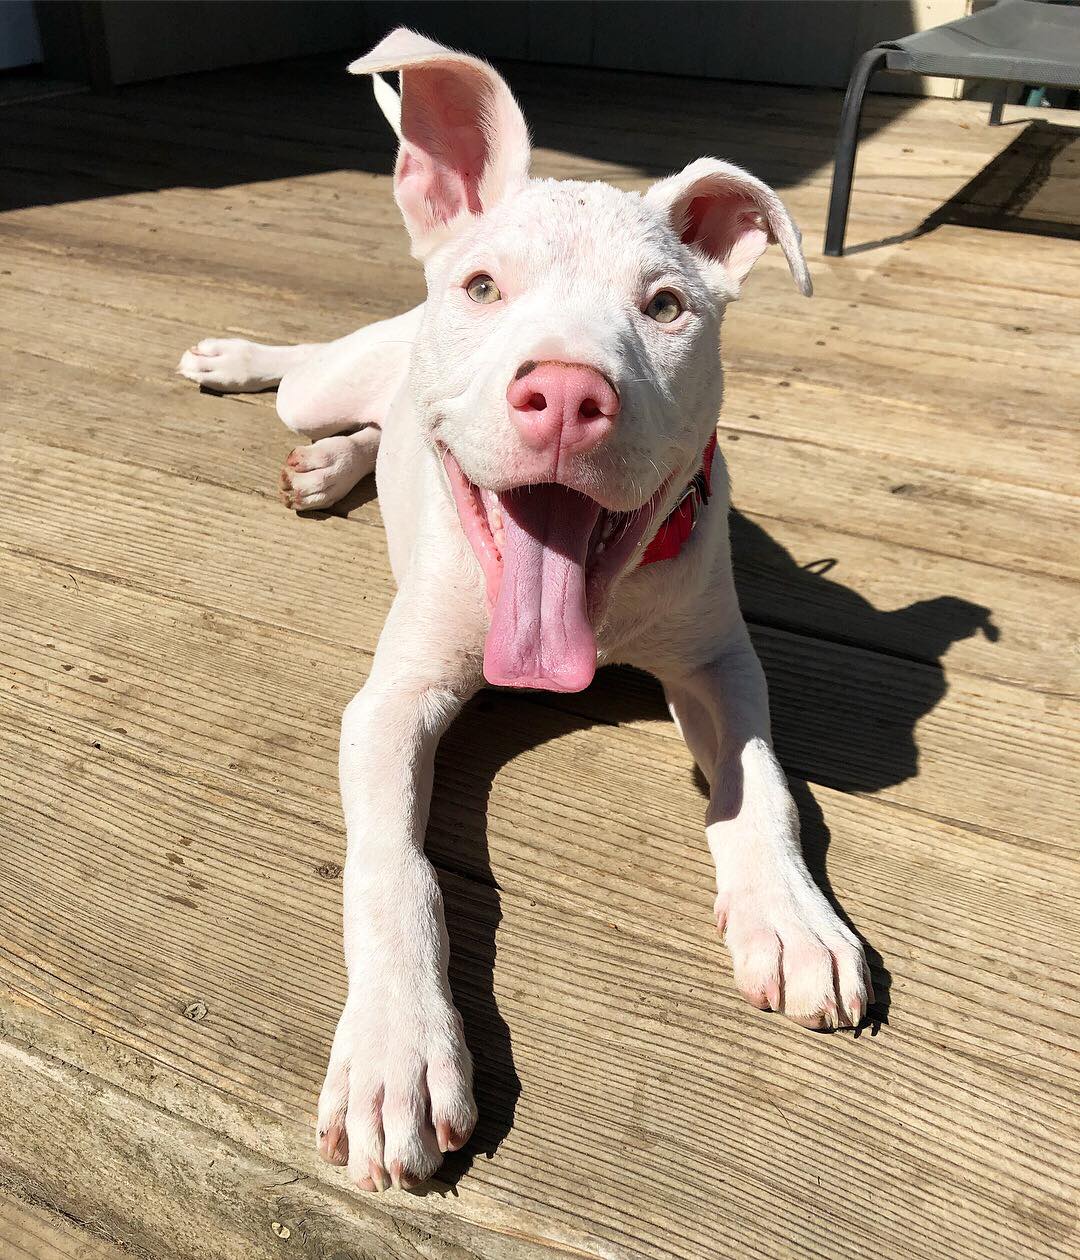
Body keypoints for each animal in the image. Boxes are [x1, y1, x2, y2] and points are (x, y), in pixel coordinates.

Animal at [176, 27, 867, 1189]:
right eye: (486, 286)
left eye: (666, 307)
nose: (569, 395)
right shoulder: (392, 703)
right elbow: (395, 869)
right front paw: (397, 1053)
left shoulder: (721, 663)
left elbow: (763, 785)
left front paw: (792, 918)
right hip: (324, 381)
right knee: (311, 375)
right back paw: (240, 362)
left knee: (373, 425)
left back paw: (330, 468)